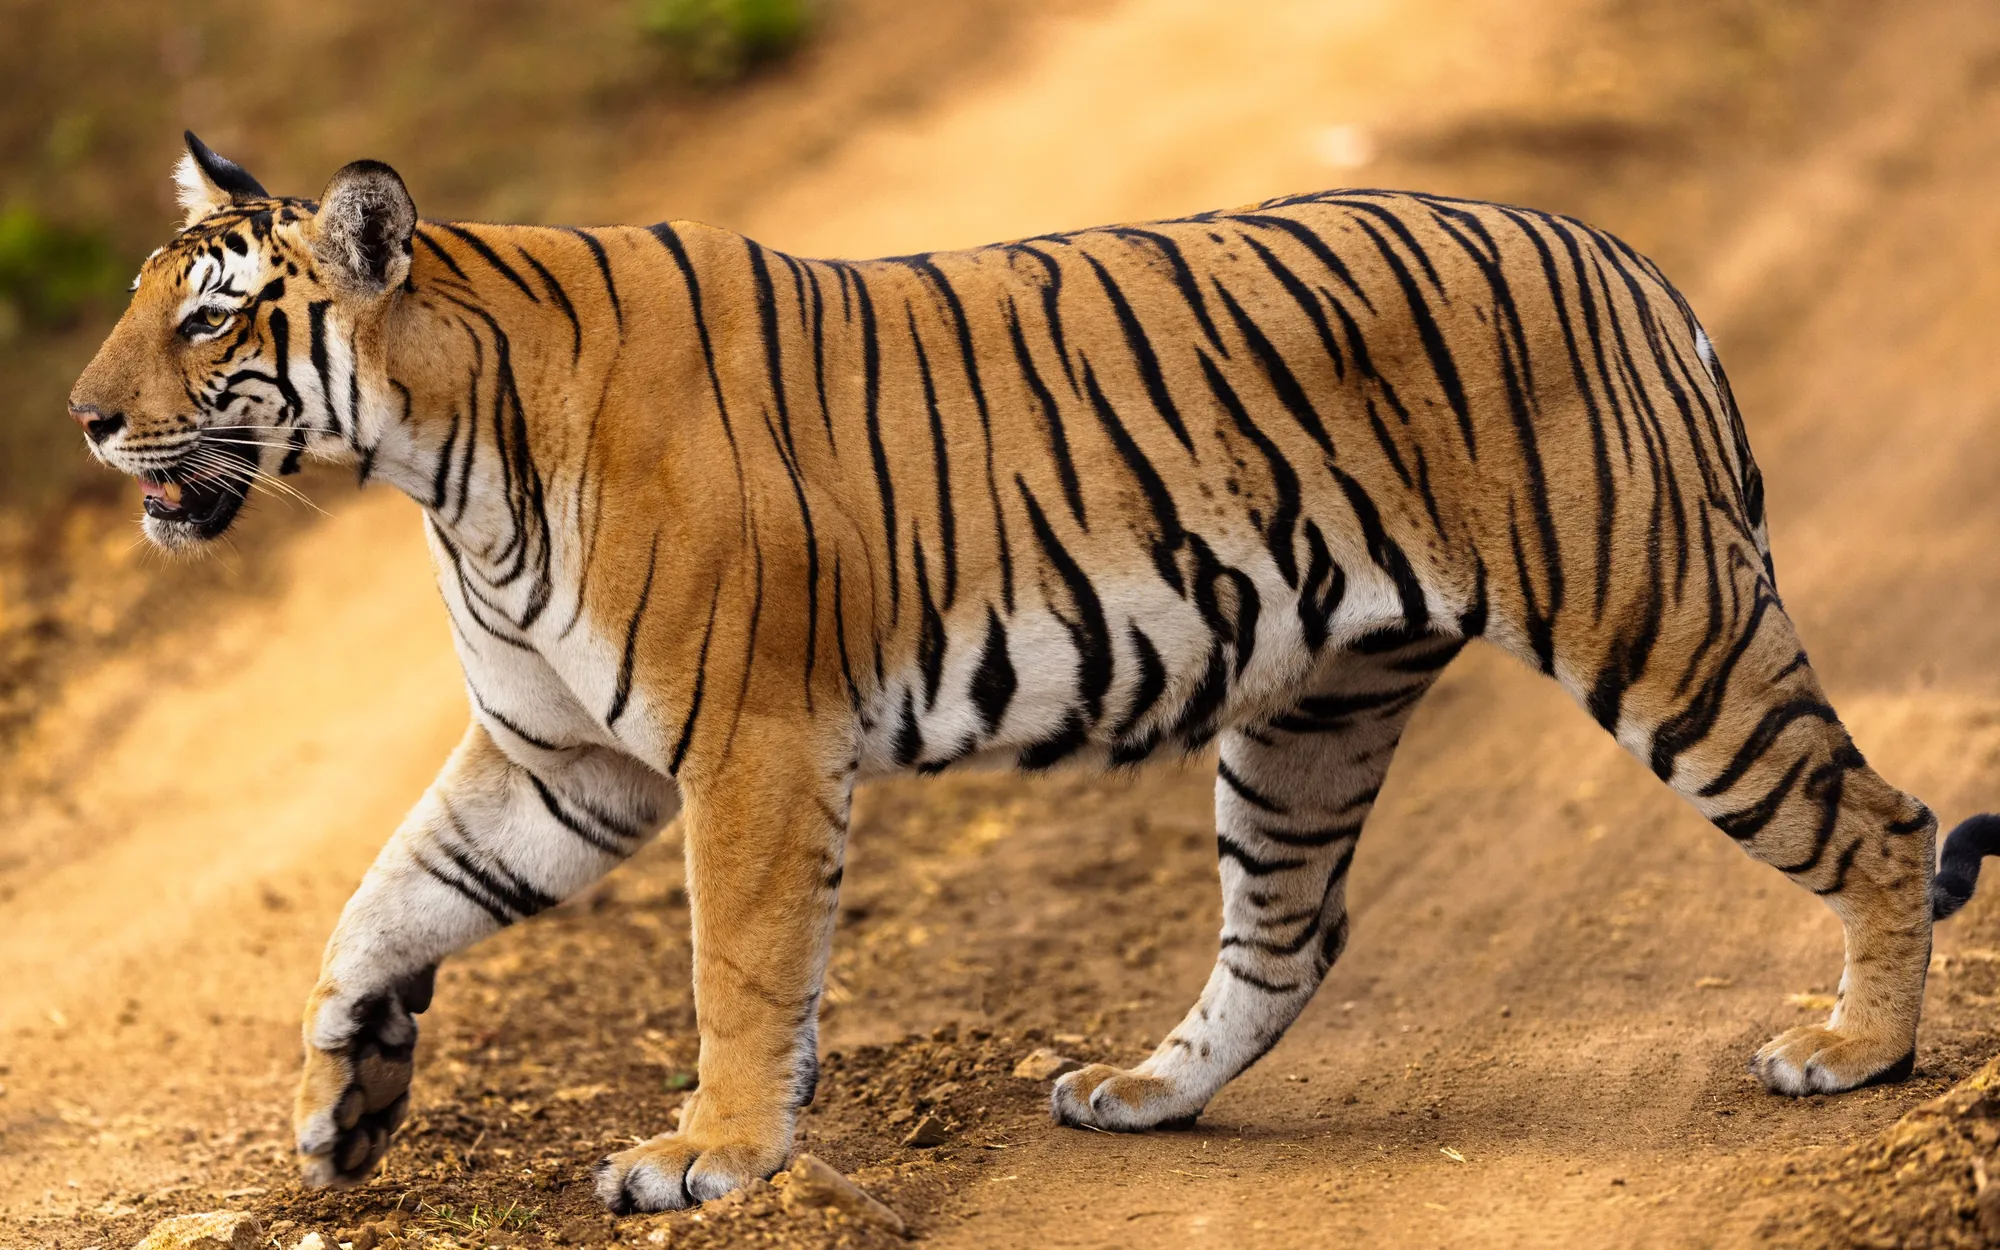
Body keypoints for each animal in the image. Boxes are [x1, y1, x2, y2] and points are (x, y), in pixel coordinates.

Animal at [68, 132, 2000, 1214]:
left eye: (212, 317)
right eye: (147, 302)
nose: (83, 420)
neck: (440, 463)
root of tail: (1621, 257)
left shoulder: (744, 744)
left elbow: (738, 971)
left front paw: (709, 1158)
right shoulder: (559, 759)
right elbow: (382, 903)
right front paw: (340, 1110)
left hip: (1663, 626)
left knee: (1883, 819)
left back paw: (1856, 1053)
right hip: (1314, 710)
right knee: (1290, 937)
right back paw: (1144, 1094)